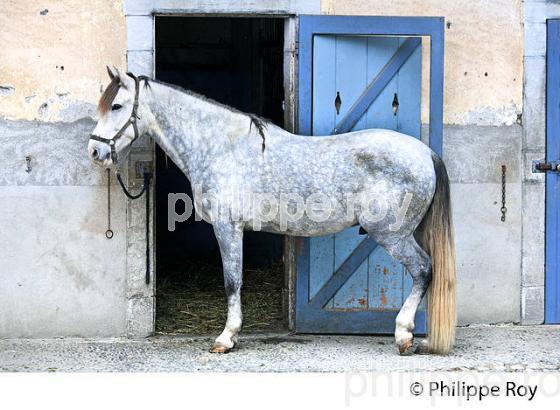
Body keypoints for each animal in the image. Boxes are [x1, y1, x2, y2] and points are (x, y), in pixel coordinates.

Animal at [87, 68, 456, 356]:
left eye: (116, 105)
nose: (94, 151)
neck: (222, 147)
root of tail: (425, 153)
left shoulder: (228, 227)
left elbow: (232, 281)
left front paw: (227, 338)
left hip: (391, 233)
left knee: (423, 269)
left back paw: (403, 334)